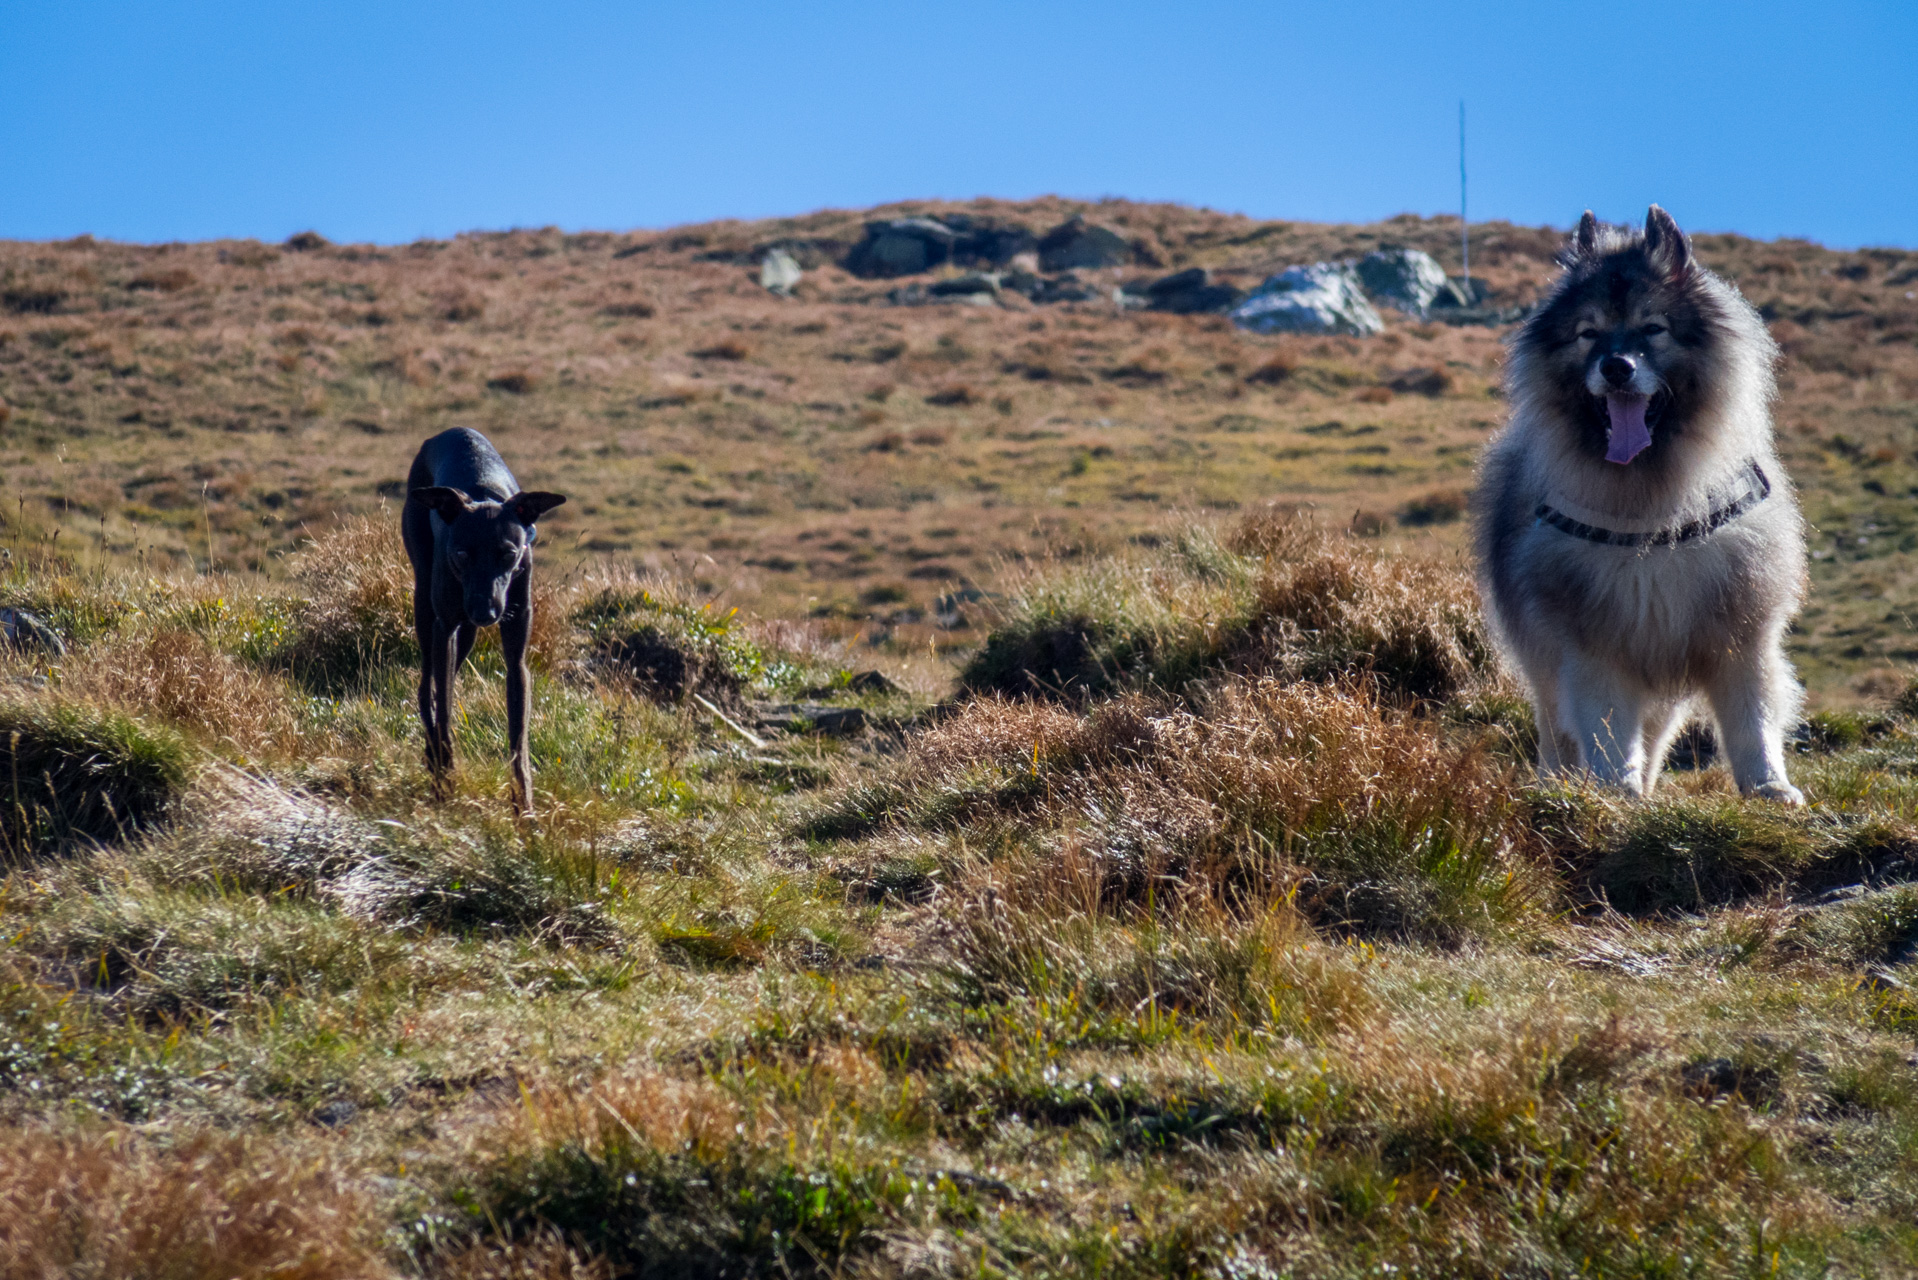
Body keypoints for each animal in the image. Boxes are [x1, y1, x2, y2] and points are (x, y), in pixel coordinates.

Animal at [398, 427, 560, 809]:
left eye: (509, 554)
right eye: (461, 554)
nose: (485, 612)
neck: (485, 495)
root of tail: (447, 432)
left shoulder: (516, 654)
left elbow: (519, 739)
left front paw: (524, 809)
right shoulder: (445, 629)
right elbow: (444, 710)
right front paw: (445, 782)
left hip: (467, 635)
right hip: (427, 610)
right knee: (427, 688)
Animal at [1473, 205, 1802, 805]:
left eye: (1653, 328)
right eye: (1589, 333)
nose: (1617, 367)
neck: (1652, 512)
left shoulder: (1740, 635)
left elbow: (1753, 719)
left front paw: (1770, 787)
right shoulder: (1592, 645)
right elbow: (1604, 725)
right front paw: (1614, 789)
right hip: (1546, 666)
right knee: (1558, 735)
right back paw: (1564, 784)